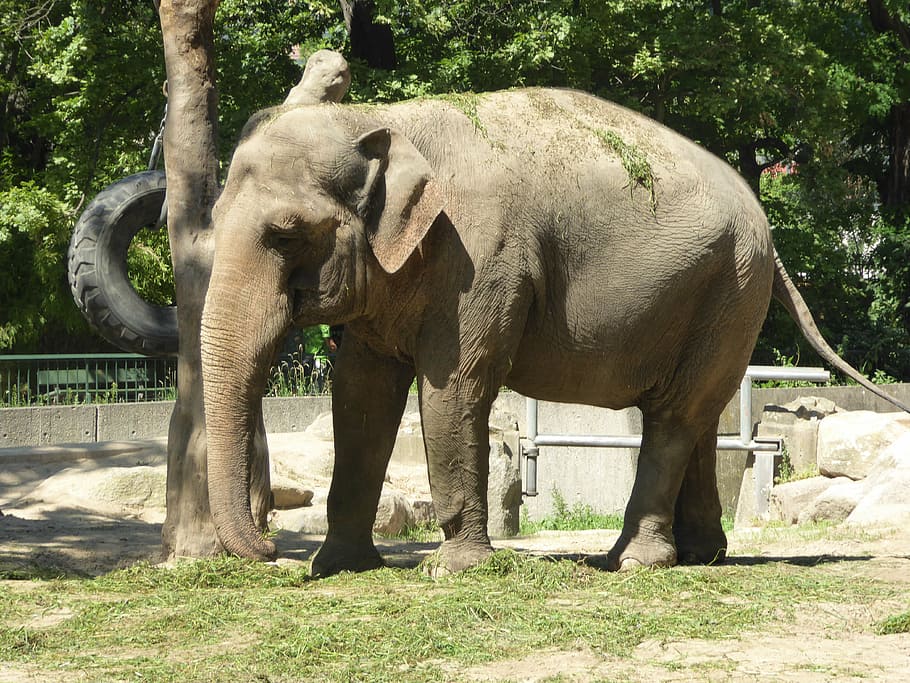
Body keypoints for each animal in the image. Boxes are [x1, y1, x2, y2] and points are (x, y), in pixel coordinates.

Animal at [200, 82, 909, 576]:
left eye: (286, 234)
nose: (271, 550)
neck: (383, 119)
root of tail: (769, 232)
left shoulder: (480, 257)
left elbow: (453, 388)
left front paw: (452, 572)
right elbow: (359, 396)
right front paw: (341, 568)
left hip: (731, 285)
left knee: (675, 415)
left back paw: (633, 563)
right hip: (725, 293)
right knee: (700, 412)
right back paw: (700, 556)